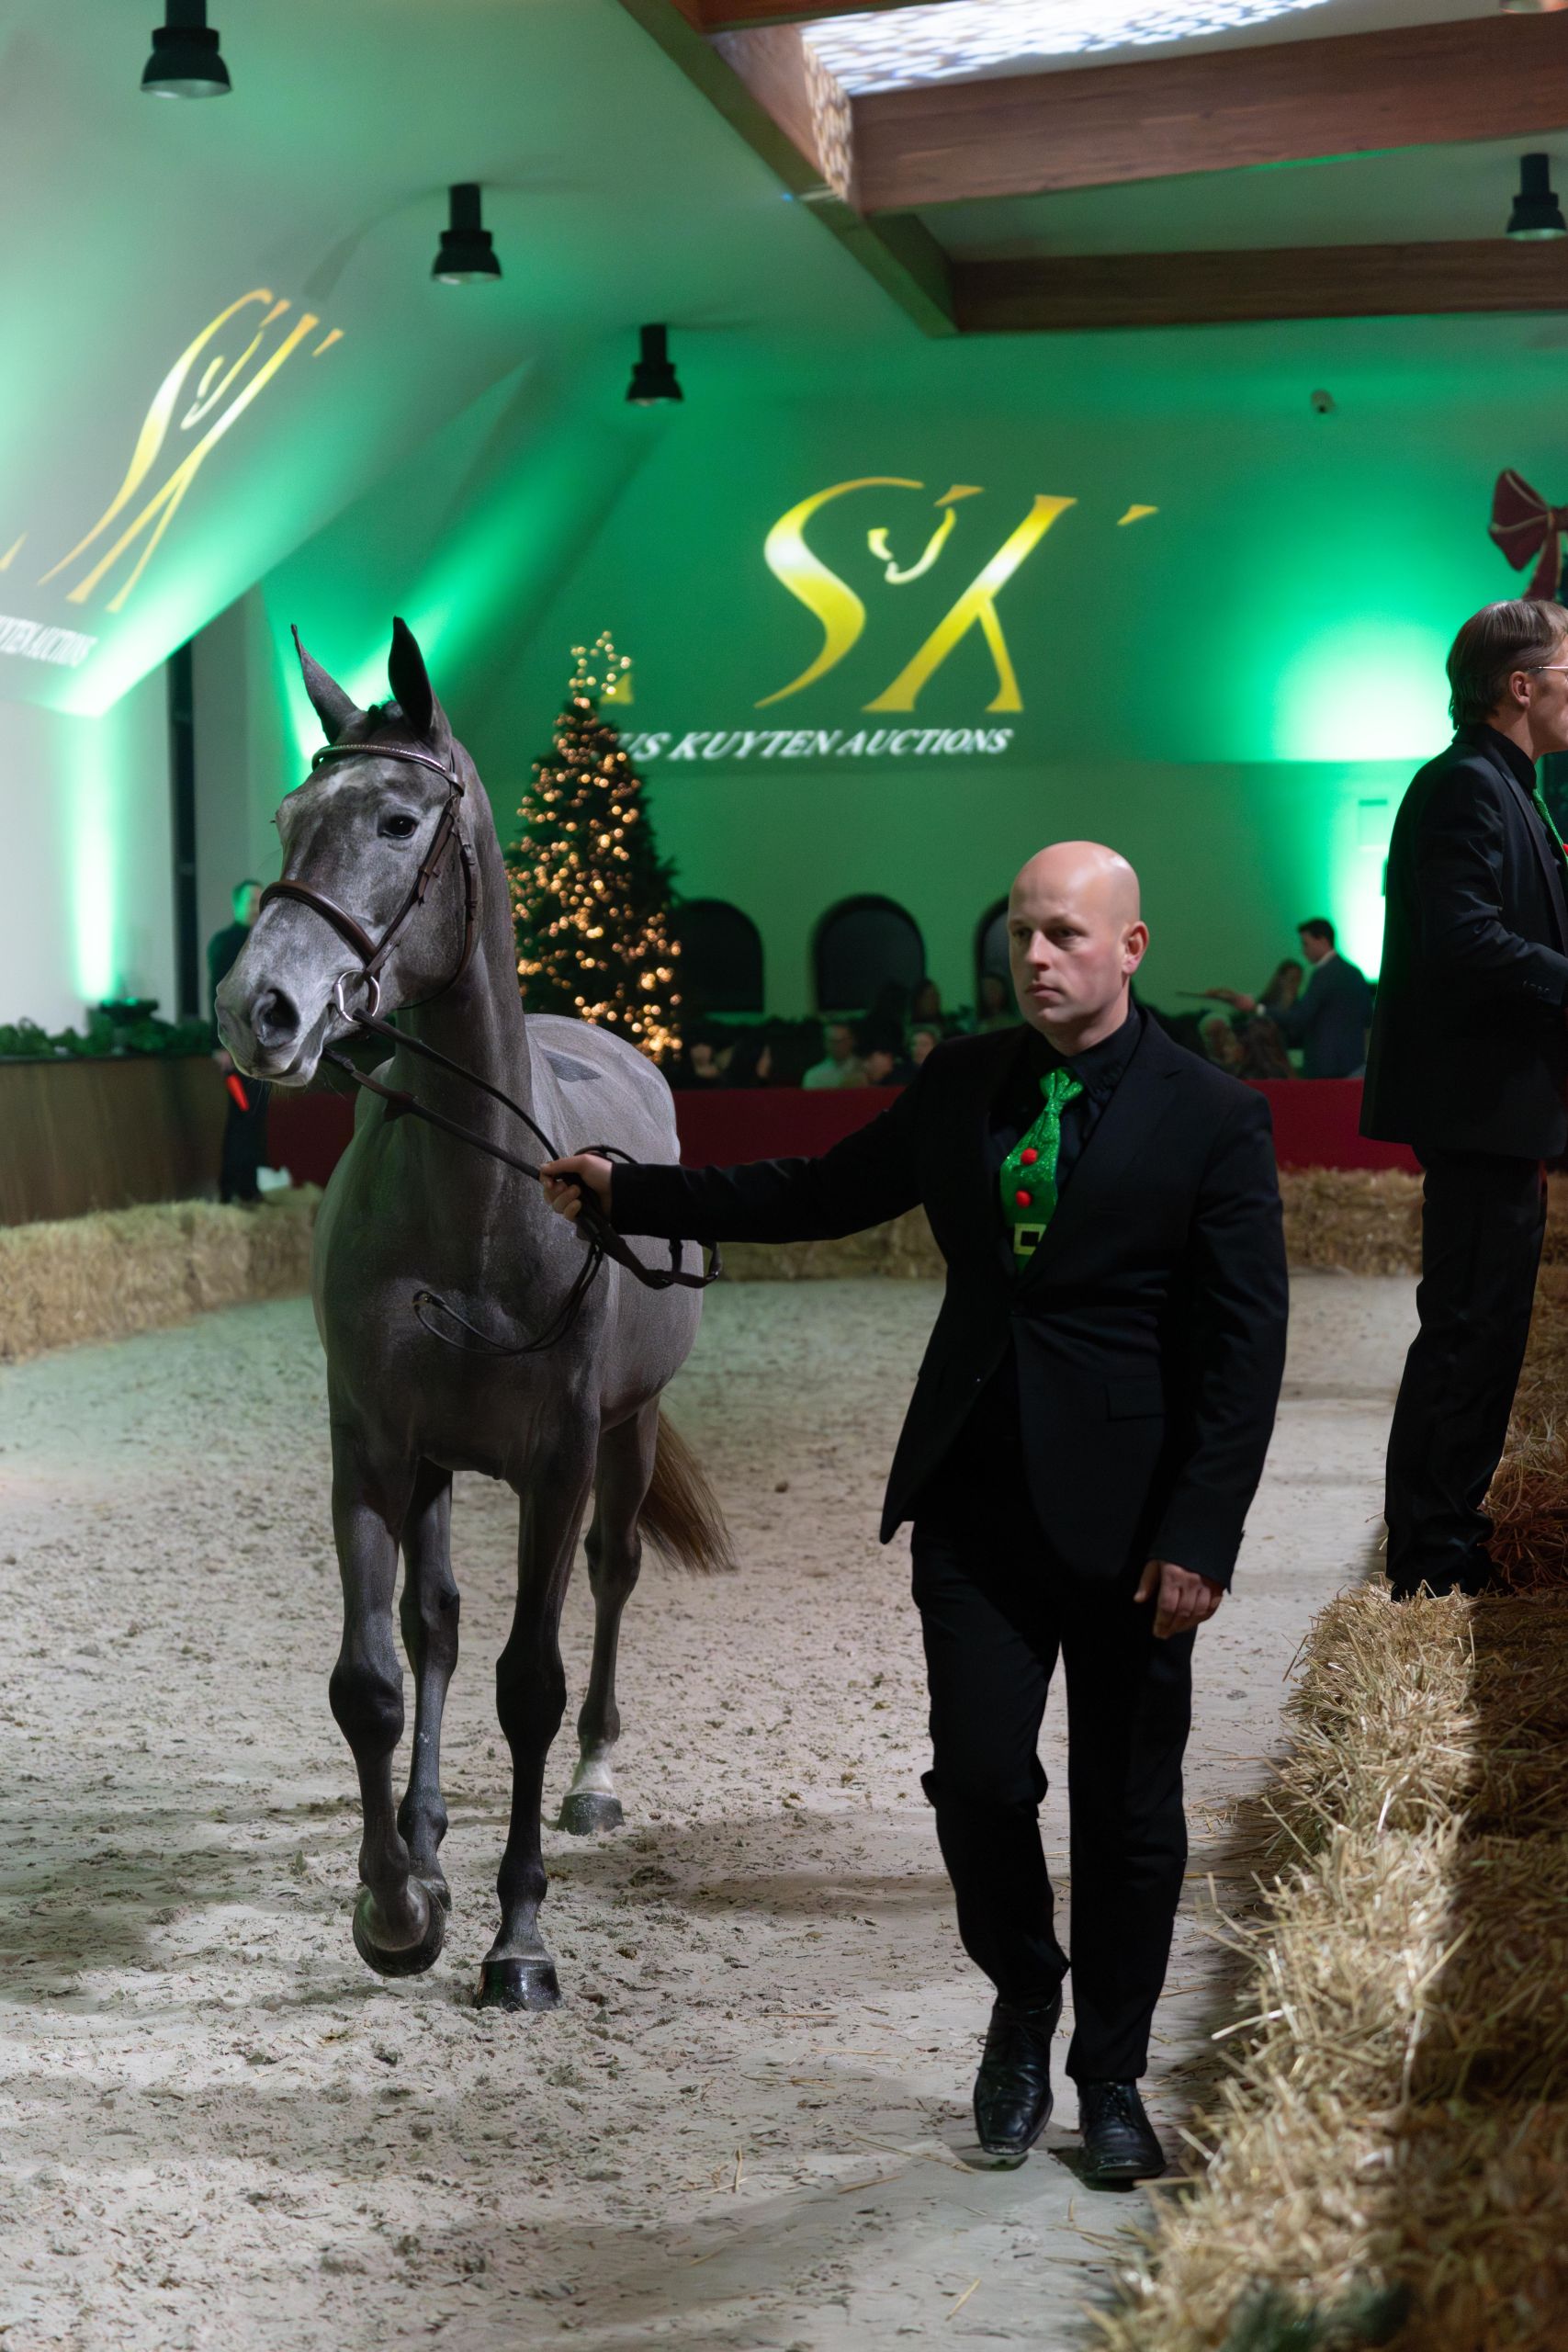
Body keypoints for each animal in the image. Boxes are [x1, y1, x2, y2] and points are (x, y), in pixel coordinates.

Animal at [216, 617, 730, 2012]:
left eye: (398, 820)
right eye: (286, 817)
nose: (258, 1010)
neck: (481, 1206)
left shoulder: (556, 1460)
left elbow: (529, 1685)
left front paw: (519, 1941)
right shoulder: (376, 1446)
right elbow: (375, 1679)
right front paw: (398, 1902)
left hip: (630, 1431)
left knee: (609, 1580)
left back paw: (593, 1784)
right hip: (441, 1464)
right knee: (432, 1630)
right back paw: (426, 1836)